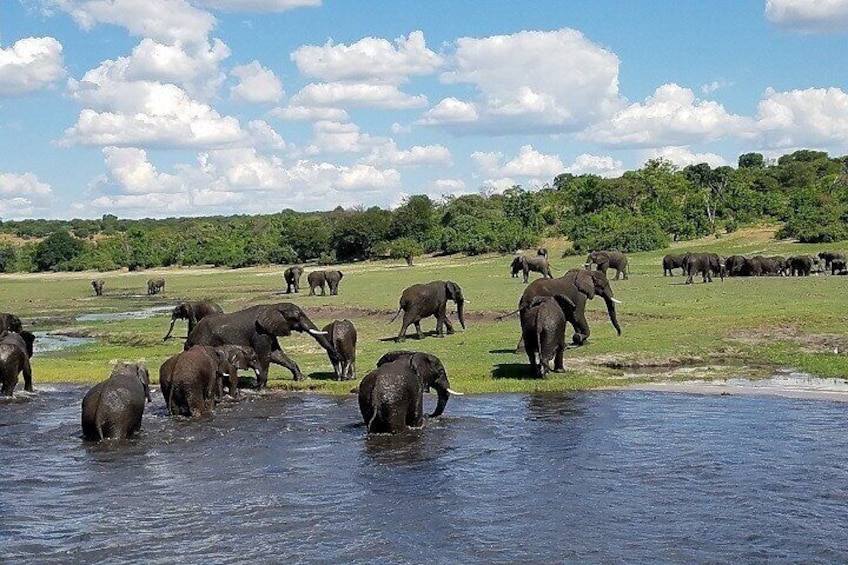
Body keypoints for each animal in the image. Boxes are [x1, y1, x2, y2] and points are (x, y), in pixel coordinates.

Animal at [184, 302, 336, 386]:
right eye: (296, 316)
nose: (336, 354)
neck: (274, 307)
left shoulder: (269, 330)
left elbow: (276, 354)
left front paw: (301, 379)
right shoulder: (259, 332)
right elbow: (265, 355)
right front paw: (261, 385)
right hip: (203, 341)